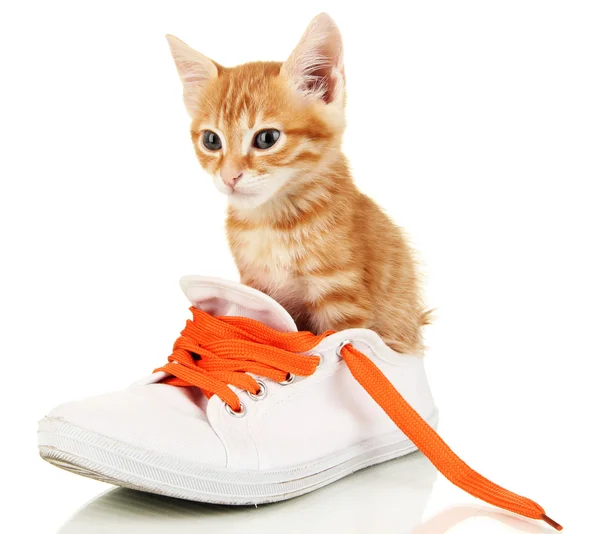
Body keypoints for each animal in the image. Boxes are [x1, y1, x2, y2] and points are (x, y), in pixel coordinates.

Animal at [169, 12, 428, 354]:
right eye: (212, 140)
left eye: (267, 138)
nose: (229, 176)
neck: (273, 225)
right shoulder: (256, 288)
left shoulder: (340, 295)